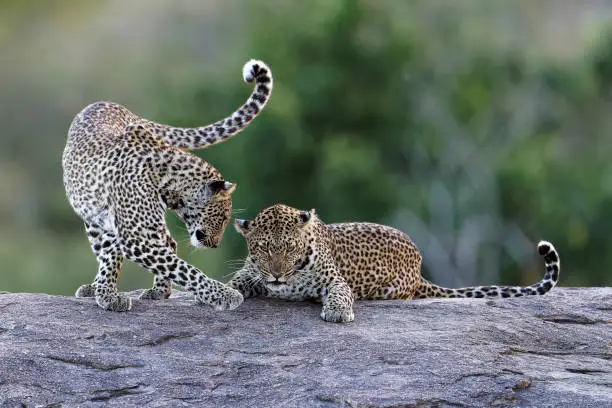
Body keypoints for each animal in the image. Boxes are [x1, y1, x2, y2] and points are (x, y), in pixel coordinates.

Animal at [61, 58, 272, 312]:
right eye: (222, 218)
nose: (215, 245)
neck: (167, 181)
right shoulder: (135, 236)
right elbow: (185, 270)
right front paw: (225, 294)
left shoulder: (131, 231)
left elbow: (119, 258)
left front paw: (108, 294)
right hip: (95, 223)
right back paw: (97, 287)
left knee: (167, 243)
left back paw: (158, 290)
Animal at [228, 203, 560, 322]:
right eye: (263, 248)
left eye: (289, 248)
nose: (277, 275)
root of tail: (419, 268)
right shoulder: (250, 272)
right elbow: (237, 281)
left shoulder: (335, 280)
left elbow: (339, 294)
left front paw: (337, 312)